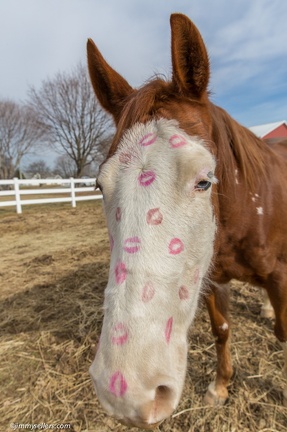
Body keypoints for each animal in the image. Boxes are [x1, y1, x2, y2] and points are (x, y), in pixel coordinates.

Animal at [86, 12, 287, 428]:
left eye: (204, 180)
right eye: (99, 185)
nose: (126, 392)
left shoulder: (281, 276)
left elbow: (283, 332)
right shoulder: (212, 280)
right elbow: (222, 330)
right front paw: (220, 387)